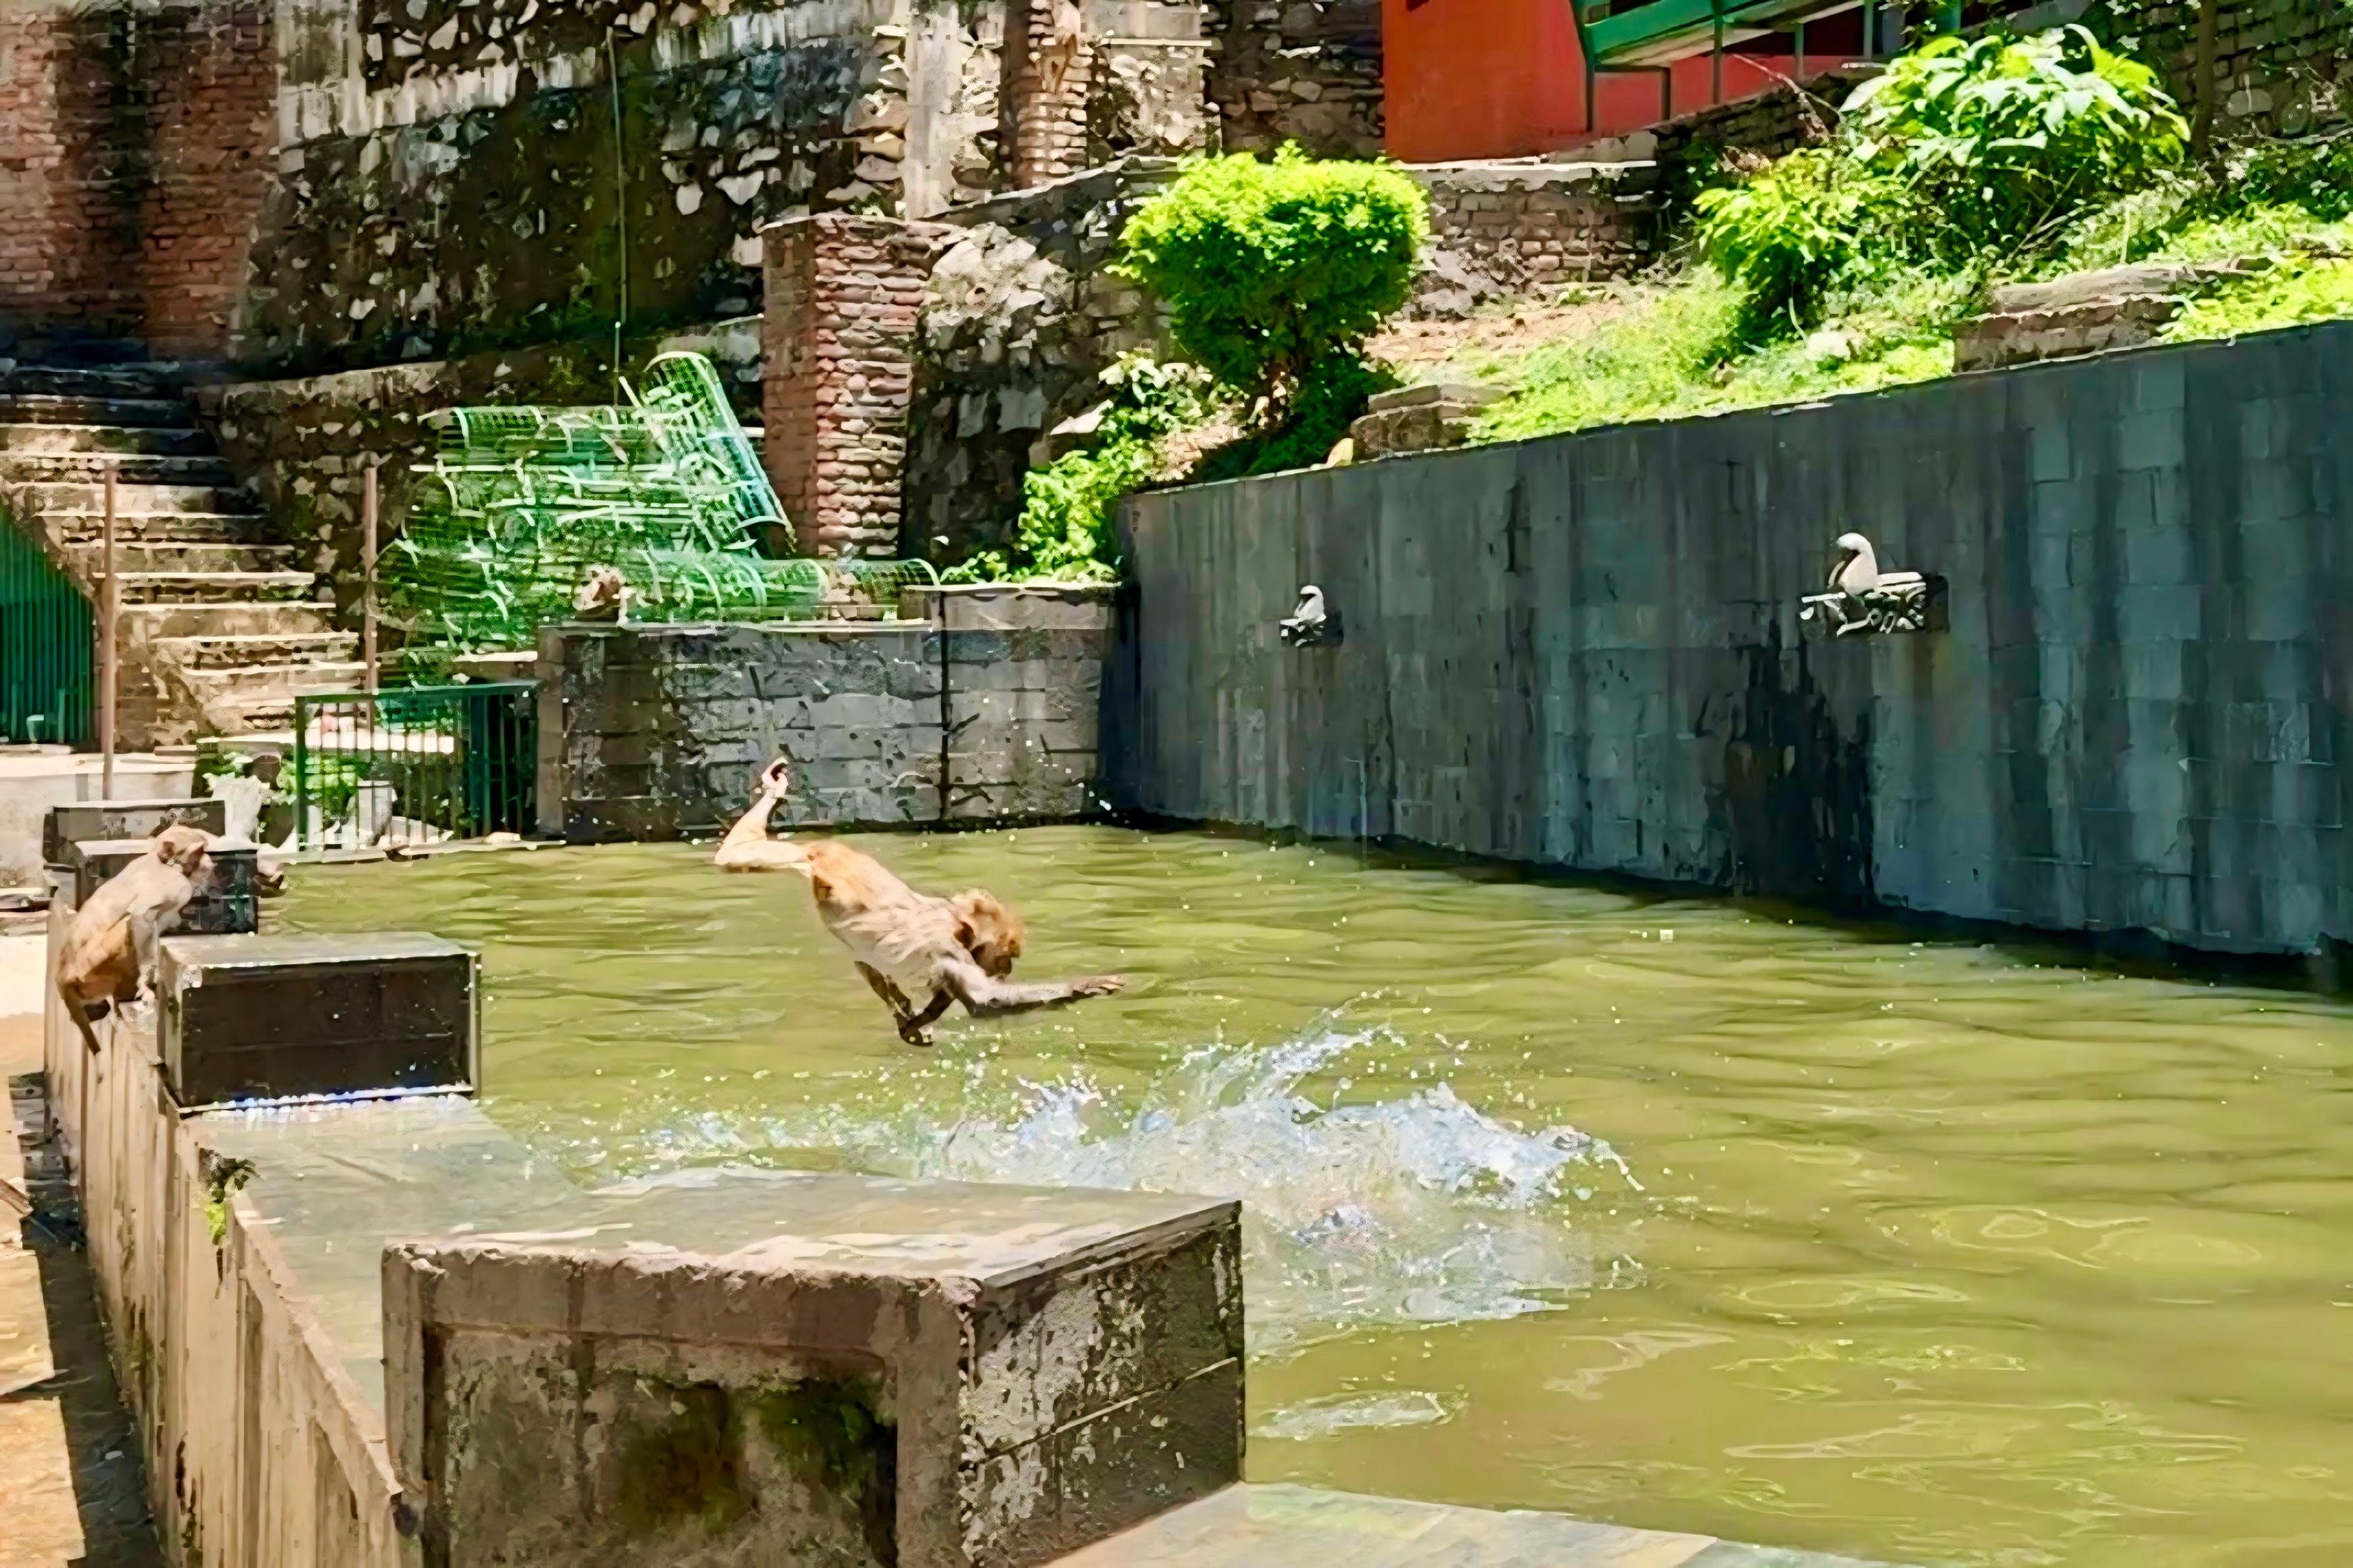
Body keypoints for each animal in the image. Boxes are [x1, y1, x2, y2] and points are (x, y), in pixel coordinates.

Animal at [55, 825, 213, 1055]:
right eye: (201, 850)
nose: (211, 860)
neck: (159, 860)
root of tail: (64, 982)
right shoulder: (179, 886)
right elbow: (141, 916)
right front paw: (148, 978)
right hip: (97, 972)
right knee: (130, 924)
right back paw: (127, 992)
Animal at [714, 756, 1124, 1045]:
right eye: (1005, 958)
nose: (1006, 968)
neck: (958, 923)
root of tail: (828, 851)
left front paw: (912, 1022)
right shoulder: (946, 948)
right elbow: (986, 999)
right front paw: (1086, 985)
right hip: (810, 860)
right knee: (738, 855)